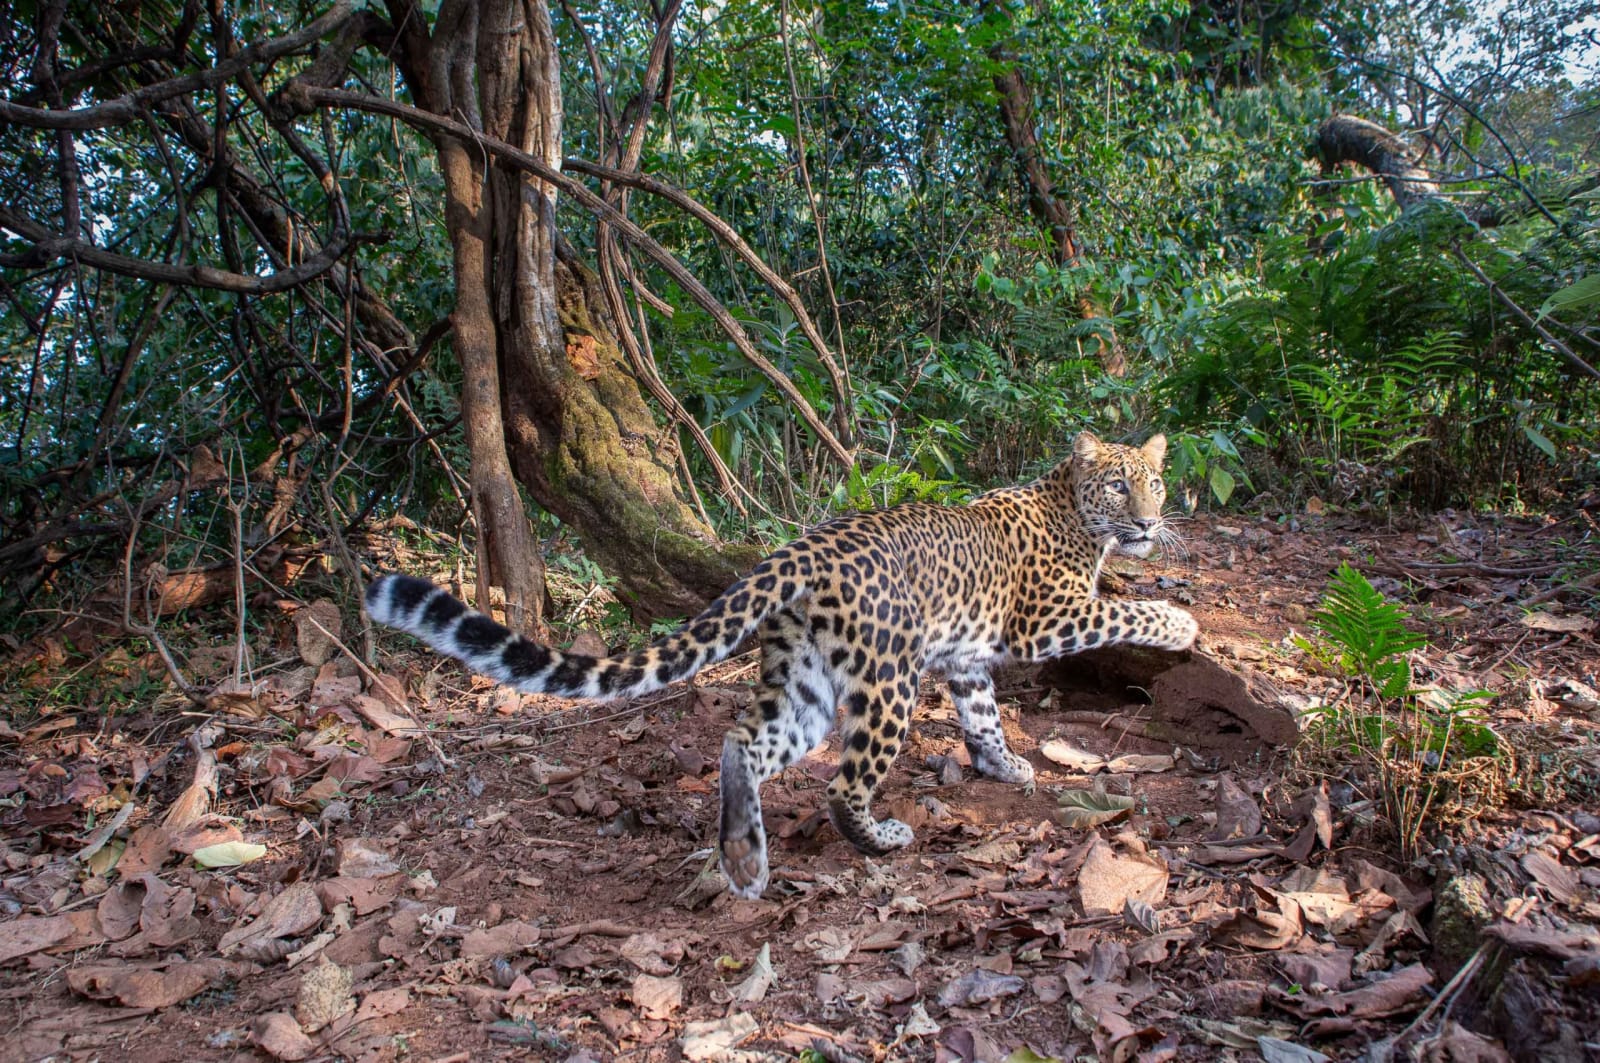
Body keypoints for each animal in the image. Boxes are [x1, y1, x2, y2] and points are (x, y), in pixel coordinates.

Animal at [365, 430, 1197, 899]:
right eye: (1120, 483)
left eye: (1156, 481)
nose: (1150, 521)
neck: (1074, 512)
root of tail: (802, 547)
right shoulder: (1048, 617)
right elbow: (1125, 612)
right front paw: (1181, 623)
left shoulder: (966, 656)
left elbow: (984, 712)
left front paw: (1003, 764)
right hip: (886, 680)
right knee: (842, 784)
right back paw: (878, 838)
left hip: (806, 678)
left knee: (742, 742)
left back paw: (742, 853)